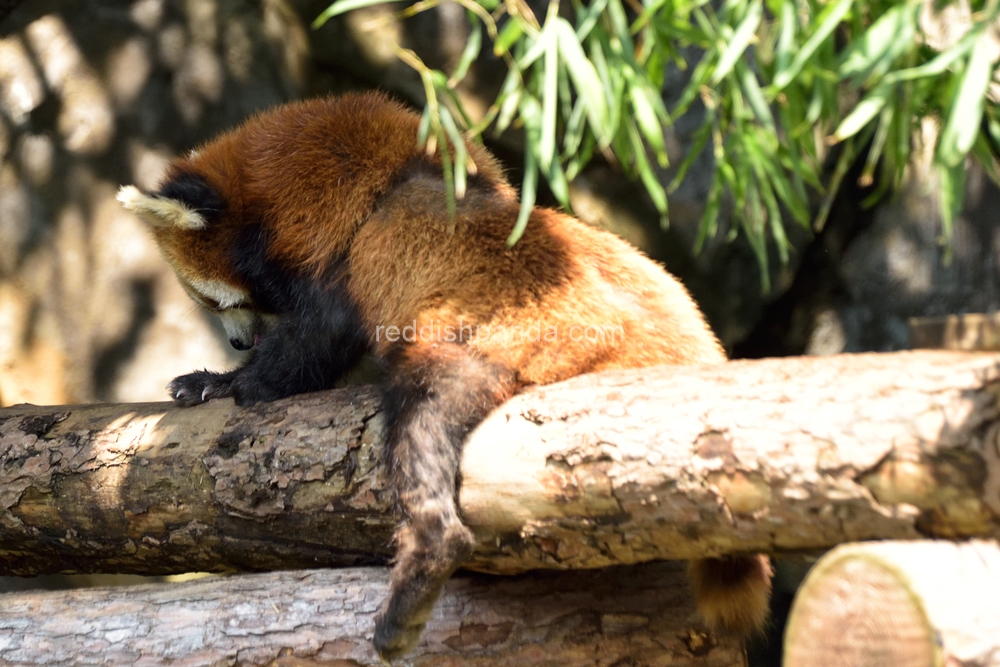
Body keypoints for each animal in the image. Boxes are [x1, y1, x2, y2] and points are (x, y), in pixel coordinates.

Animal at [119, 92, 772, 664]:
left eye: (214, 299)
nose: (236, 342)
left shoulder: (340, 263)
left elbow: (311, 348)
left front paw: (224, 381)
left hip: (493, 341)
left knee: (422, 422)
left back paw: (419, 574)